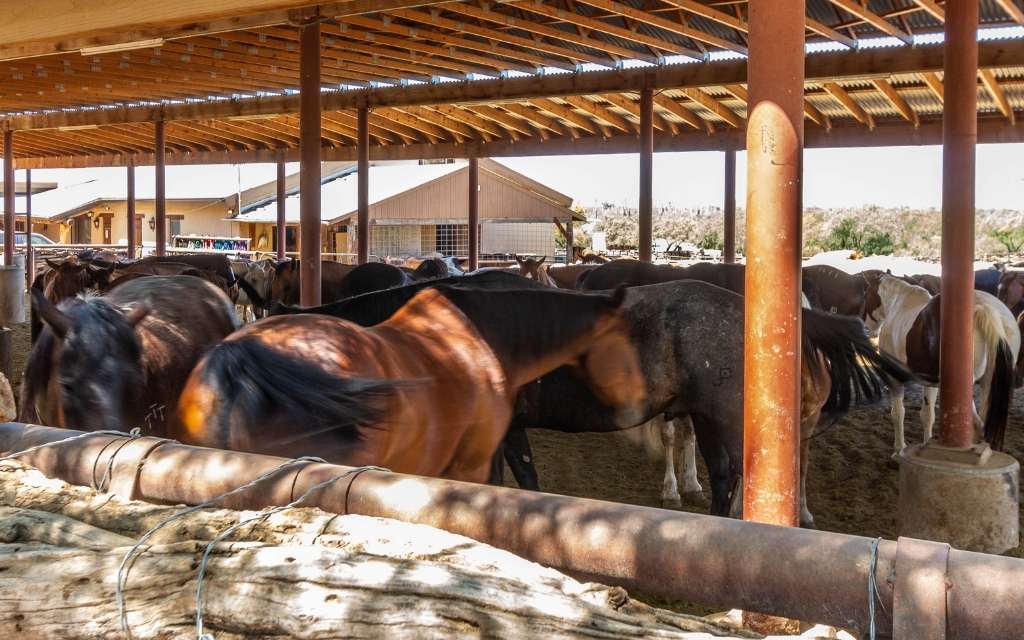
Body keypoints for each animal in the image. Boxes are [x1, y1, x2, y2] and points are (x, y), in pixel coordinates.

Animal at [864, 274, 1015, 454]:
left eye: (867, 294)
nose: (868, 328)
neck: (898, 302)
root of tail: (982, 310)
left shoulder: (894, 377)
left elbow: (898, 413)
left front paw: (899, 449)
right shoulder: (929, 382)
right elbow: (928, 415)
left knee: (976, 424)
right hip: (987, 386)